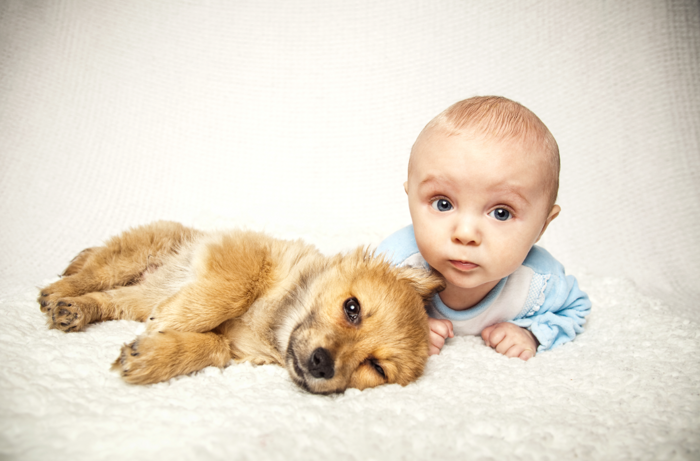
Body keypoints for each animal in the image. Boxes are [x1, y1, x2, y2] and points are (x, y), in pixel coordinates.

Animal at [37, 221, 442, 394]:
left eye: (375, 368)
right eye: (352, 308)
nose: (322, 364)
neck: (275, 320)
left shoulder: (231, 345)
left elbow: (208, 346)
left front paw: (155, 355)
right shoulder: (245, 254)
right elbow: (235, 288)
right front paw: (174, 321)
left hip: (137, 297)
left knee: (108, 299)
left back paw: (73, 309)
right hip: (132, 256)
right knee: (92, 272)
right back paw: (58, 291)